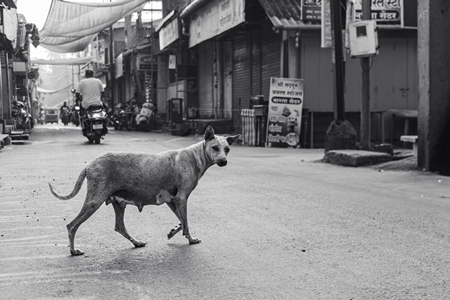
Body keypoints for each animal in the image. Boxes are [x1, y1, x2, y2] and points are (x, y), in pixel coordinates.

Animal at [48, 126, 239, 255]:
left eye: (227, 149)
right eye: (215, 147)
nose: (223, 161)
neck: (196, 156)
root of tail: (89, 166)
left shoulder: (173, 200)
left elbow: (182, 221)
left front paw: (173, 231)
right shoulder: (181, 198)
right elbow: (186, 222)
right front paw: (190, 239)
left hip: (118, 203)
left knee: (119, 227)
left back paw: (136, 242)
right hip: (94, 201)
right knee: (72, 225)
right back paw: (73, 251)